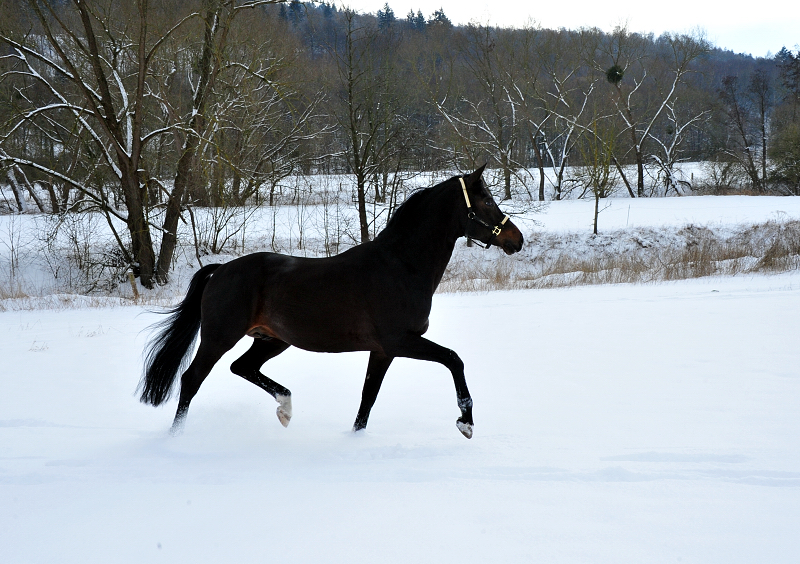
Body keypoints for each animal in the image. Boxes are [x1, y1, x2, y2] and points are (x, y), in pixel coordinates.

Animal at [140, 165, 520, 438]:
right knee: (191, 380)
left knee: (242, 367)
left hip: (273, 340)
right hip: (219, 337)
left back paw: (285, 409)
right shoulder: (400, 340)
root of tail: (219, 271)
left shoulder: (383, 350)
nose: (516, 239)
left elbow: (368, 397)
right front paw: (466, 422)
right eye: (486, 202)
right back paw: (175, 438)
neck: (401, 266)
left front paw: (354, 438)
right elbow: (454, 359)